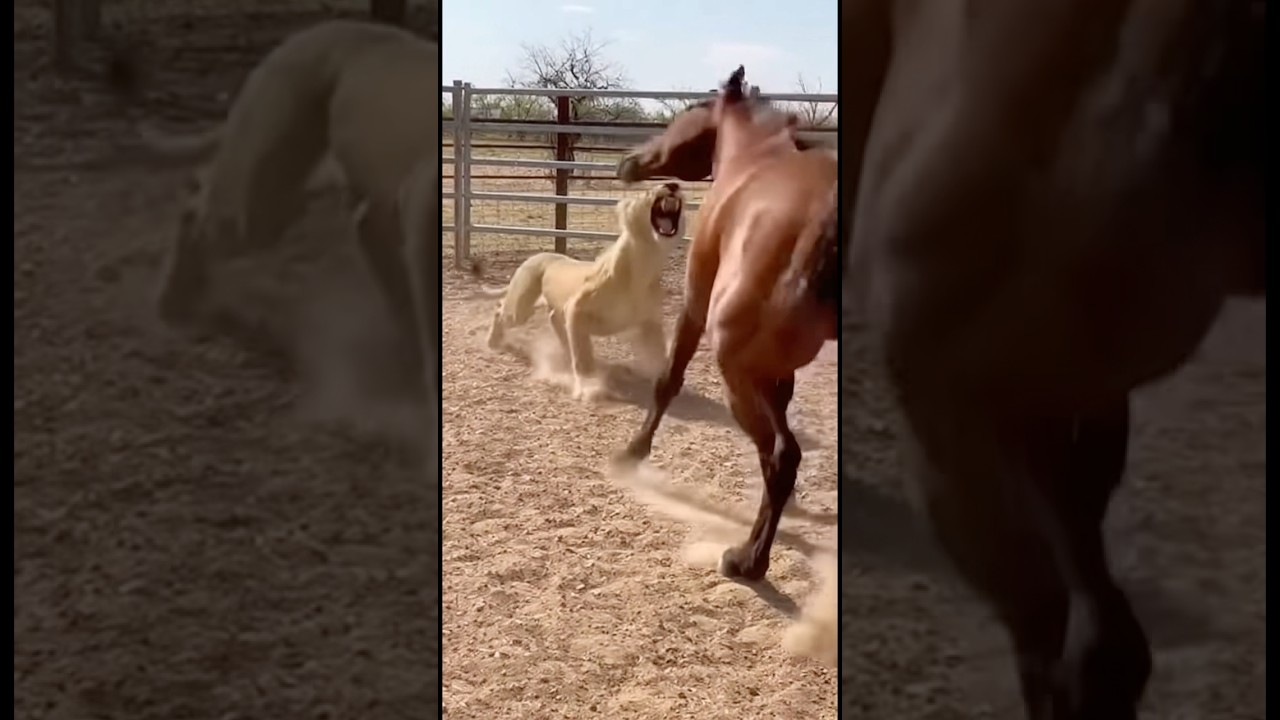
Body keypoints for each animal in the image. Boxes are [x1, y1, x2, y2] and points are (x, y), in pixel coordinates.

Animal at [479, 183, 687, 399]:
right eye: (647, 191)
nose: (672, 185)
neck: (644, 264)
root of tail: (539, 255)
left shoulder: (650, 322)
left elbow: (659, 355)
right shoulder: (576, 310)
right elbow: (583, 356)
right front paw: (589, 388)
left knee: (554, 319)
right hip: (521, 308)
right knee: (500, 307)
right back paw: (493, 341)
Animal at [613, 66, 839, 582]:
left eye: (684, 111)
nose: (628, 161)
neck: (753, 159)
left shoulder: (695, 305)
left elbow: (668, 380)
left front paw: (632, 453)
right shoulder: (777, 369)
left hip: (737, 371)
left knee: (782, 456)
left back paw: (748, 561)